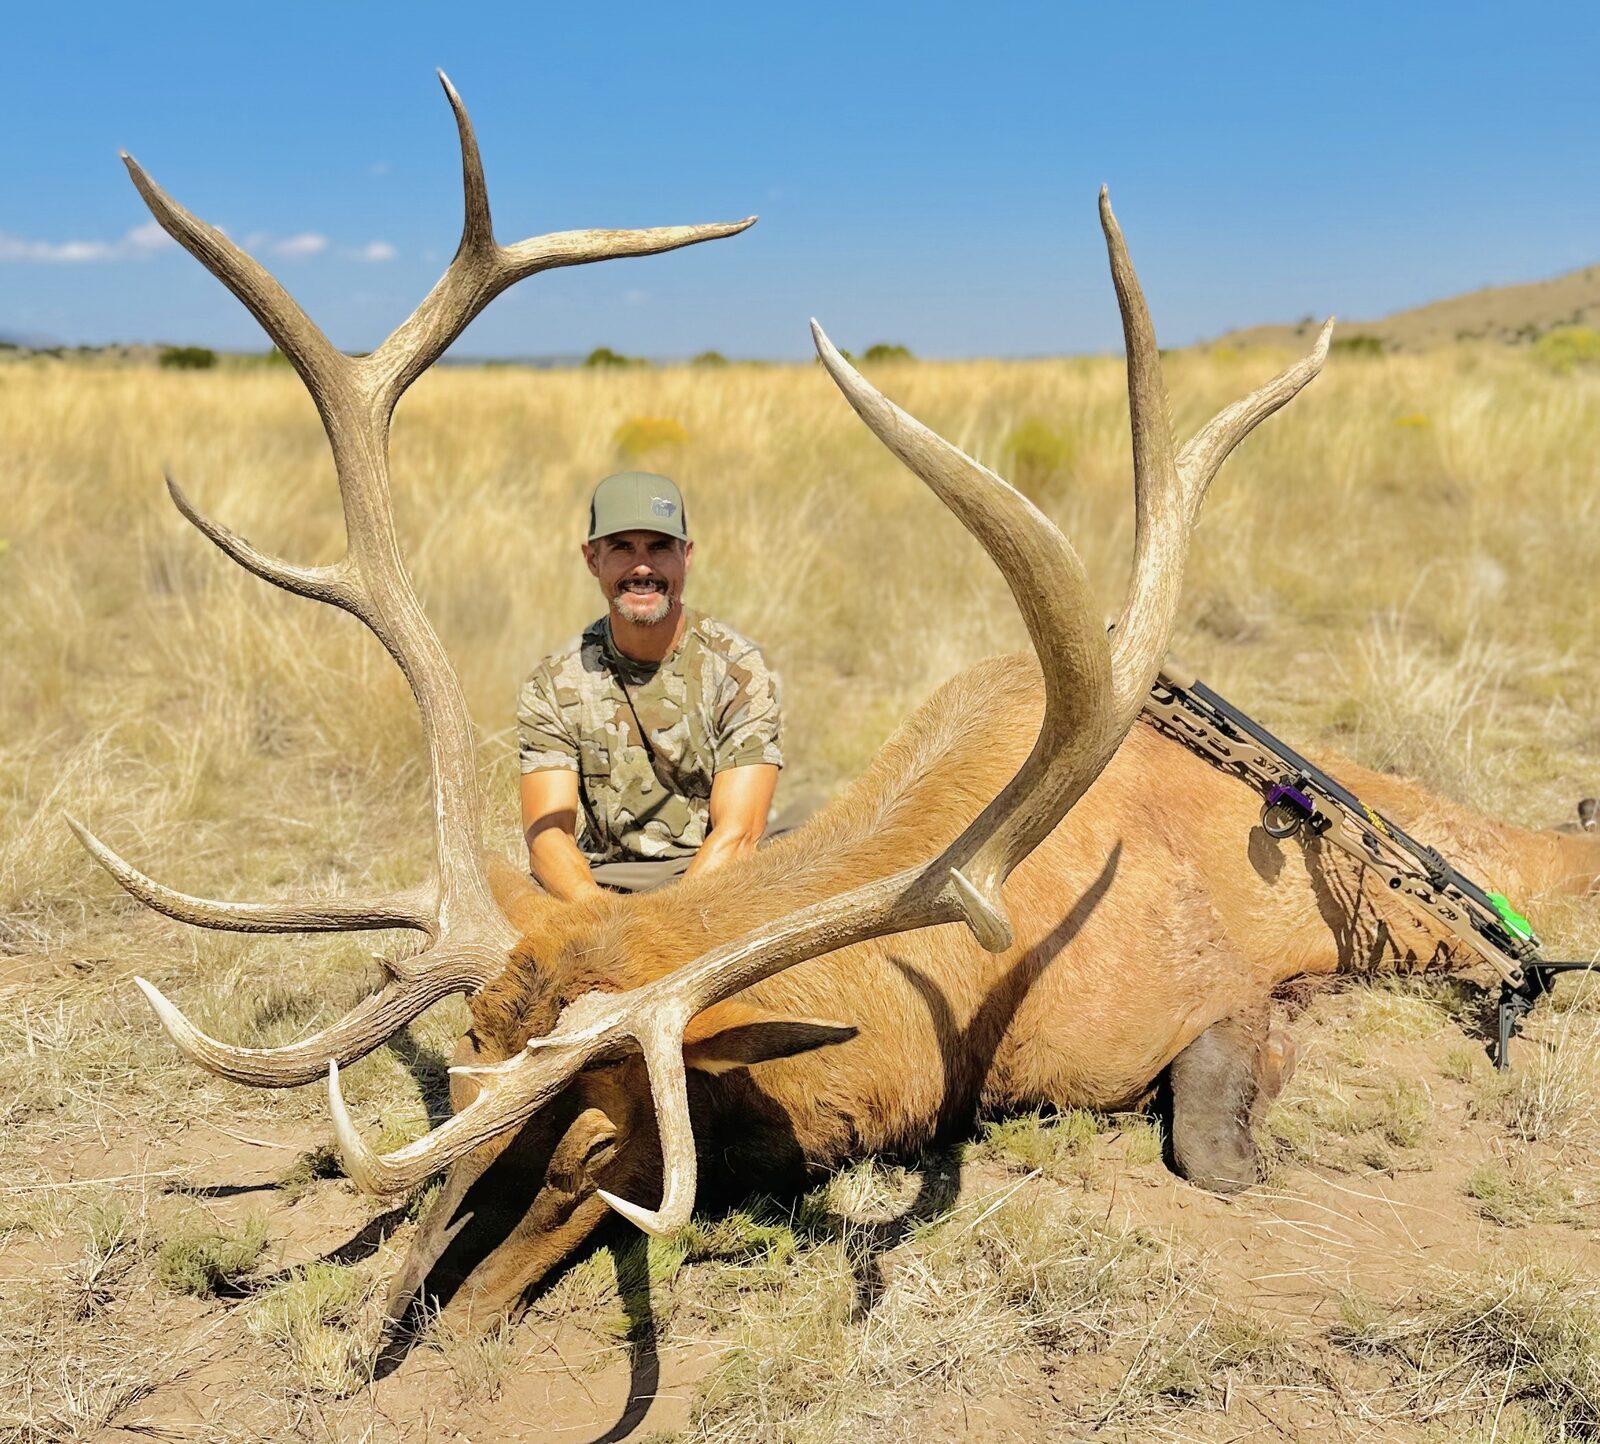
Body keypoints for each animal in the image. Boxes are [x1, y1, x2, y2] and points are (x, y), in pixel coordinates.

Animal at [70, 75, 1600, 1337]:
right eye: (468, 1055)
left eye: (600, 1145)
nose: (390, 1326)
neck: (961, 1001)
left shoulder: (1212, 999)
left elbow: (1214, 1141)